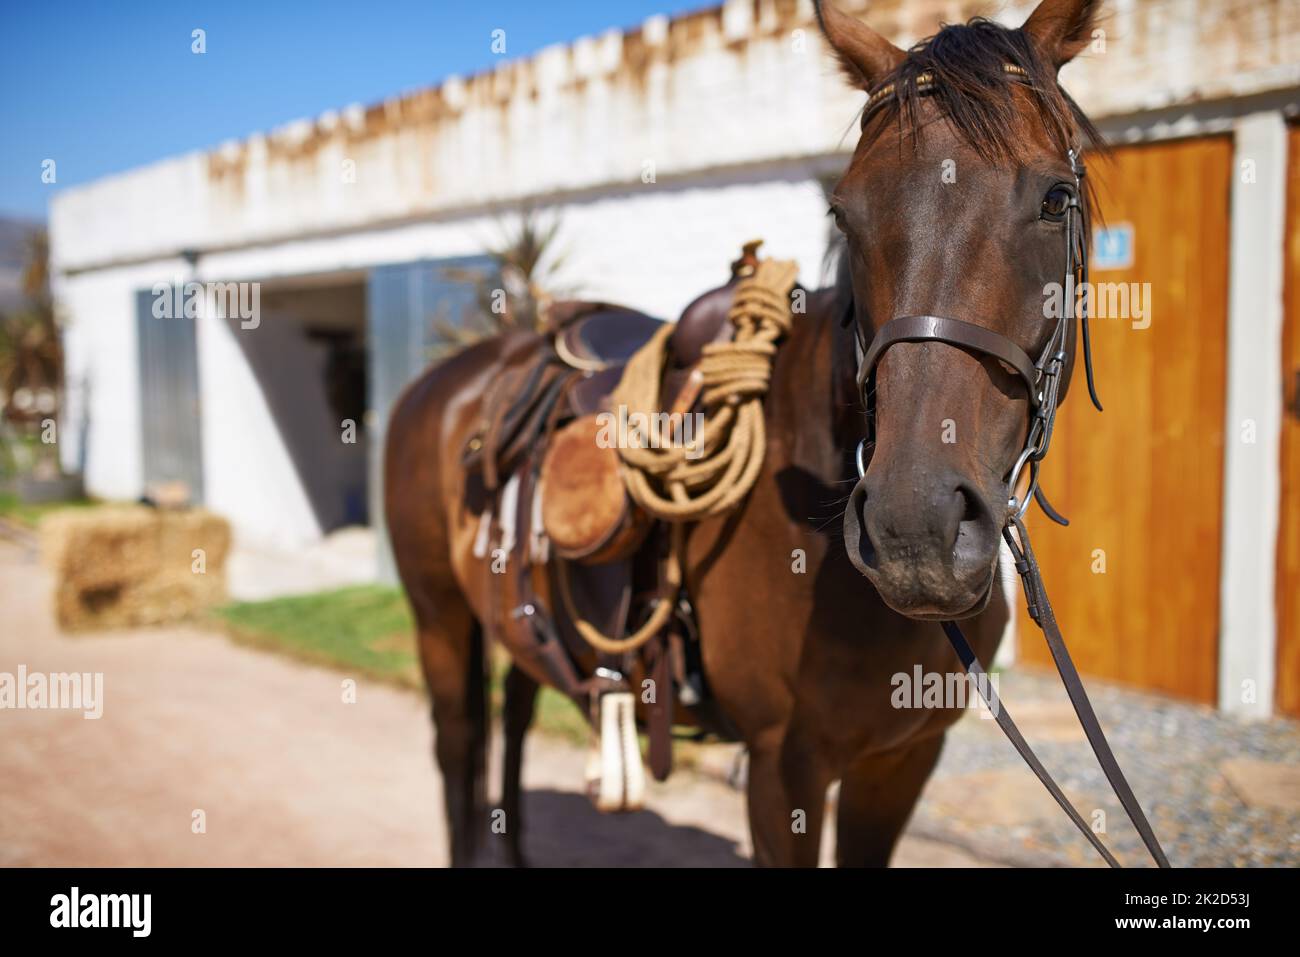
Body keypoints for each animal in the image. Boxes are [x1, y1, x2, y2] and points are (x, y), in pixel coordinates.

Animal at [384, 0, 1107, 868]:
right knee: (460, 748)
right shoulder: (780, 768)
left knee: (518, 714)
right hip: (438, 623)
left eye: (1056, 197)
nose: (915, 528)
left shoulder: (901, 762)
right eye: (843, 212)